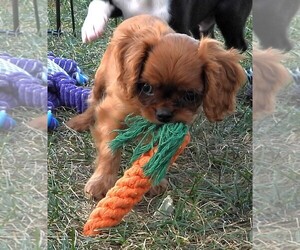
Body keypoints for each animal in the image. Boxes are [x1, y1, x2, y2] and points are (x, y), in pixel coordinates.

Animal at [67, 14, 245, 200]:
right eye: (147, 88)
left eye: (190, 96)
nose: (164, 115)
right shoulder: (111, 114)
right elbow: (110, 151)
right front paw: (101, 182)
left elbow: (157, 153)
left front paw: (152, 181)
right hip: (101, 76)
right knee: (93, 100)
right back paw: (81, 121)